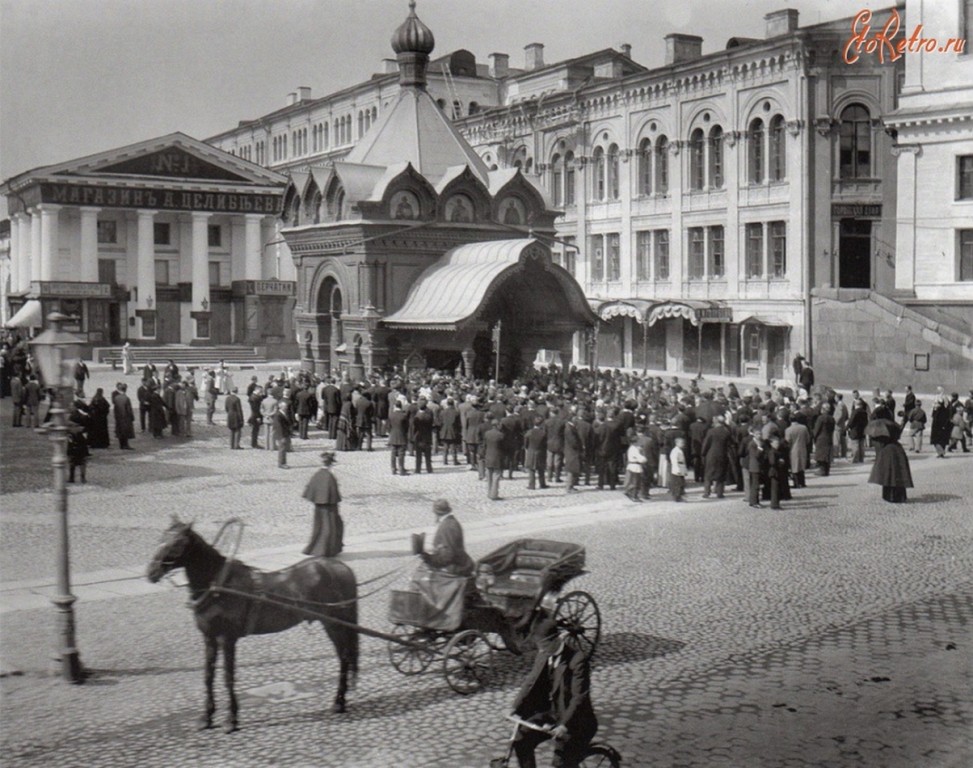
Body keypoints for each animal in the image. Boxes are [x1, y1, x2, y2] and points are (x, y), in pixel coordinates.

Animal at [150, 516, 362, 732]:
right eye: (161, 537)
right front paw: (207, 716)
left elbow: (228, 676)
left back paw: (339, 701)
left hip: (334, 624)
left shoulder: (227, 638)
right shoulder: (209, 637)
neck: (218, 585)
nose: (151, 572)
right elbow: (208, 676)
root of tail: (340, 568)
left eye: (178, 544)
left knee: (344, 657)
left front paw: (232, 718)